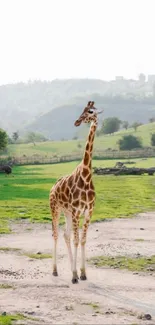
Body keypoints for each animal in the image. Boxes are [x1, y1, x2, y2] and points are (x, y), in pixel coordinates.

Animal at [49, 100, 103, 282]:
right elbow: (77, 240)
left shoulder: (88, 211)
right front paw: (74, 275)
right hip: (56, 209)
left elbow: (83, 240)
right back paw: (55, 271)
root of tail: (52, 188)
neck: (86, 175)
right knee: (56, 234)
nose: (77, 122)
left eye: (91, 111)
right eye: (83, 109)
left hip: (66, 212)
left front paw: (83, 273)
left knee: (66, 235)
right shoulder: (76, 211)